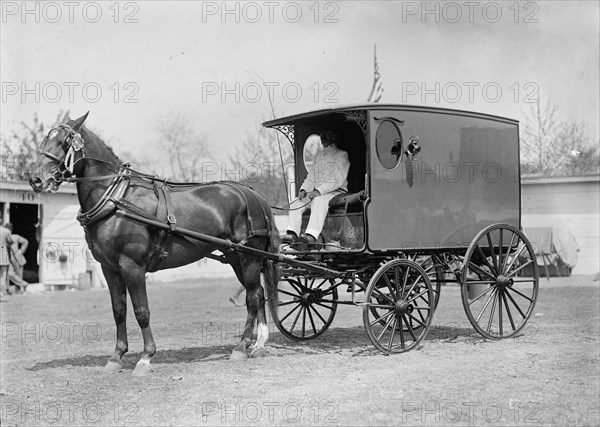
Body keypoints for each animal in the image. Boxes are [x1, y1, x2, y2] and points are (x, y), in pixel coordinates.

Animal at [29, 113, 280, 378]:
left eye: (64, 142)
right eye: (46, 139)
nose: (35, 178)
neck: (116, 200)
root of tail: (254, 195)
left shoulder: (132, 266)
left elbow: (142, 311)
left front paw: (146, 357)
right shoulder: (110, 268)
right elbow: (119, 310)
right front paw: (116, 357)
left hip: (248, 257)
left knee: (252, 297)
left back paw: (242, 347)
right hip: (236, 257)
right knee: (259, 293)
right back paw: (258, 345)